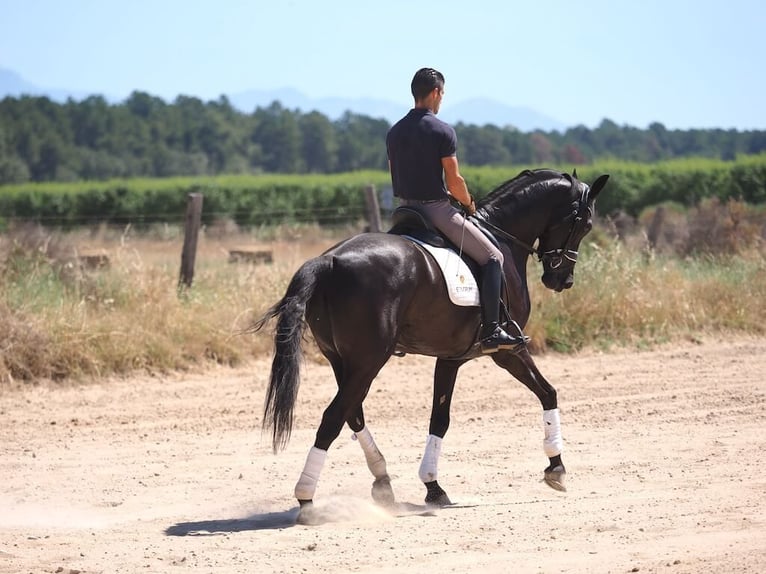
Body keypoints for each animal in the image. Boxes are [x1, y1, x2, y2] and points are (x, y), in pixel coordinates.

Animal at [253, 168, 609, 522]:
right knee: (333, 418)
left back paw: (382, 482)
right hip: (369, 360)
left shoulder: (450, 357)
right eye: (586, 223)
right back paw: (307, 499)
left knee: (353, 415)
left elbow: (439, 418)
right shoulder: (508, 350)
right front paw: (557, 468)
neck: (502, 238)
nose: (562, 281)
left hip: (342, 360)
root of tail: (330, 261)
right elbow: (548, 392)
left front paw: (433, 487)